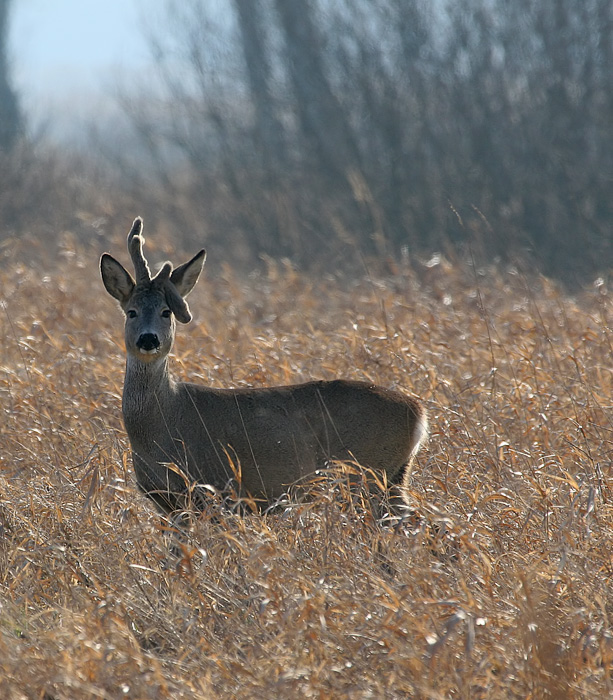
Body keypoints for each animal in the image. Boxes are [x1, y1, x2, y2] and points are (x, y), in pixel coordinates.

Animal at [99, 217, 426, 520]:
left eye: (166, 312)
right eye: (131, 312)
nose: (148, 339)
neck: (163, 420)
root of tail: (419, 412)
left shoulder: (217, 491)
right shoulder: (167, 503)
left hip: (365, 474)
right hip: (392, 476)